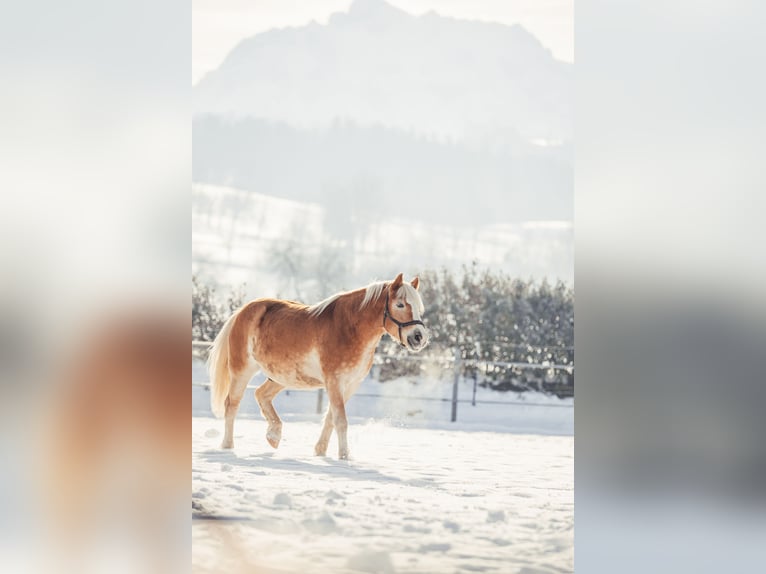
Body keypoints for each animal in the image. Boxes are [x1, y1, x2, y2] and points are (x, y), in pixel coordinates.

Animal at [207, 274, 428, 464]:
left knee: (261, 395)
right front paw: (344, 456)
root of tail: (242, 311)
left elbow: (330, 418)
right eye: (400, 304)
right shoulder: (334, 382)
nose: (419, 337)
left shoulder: (349, 385)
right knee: (232, 405)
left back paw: (274, 436)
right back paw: (228, 446)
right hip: (242, 371)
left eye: (419, 307)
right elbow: (340, 420)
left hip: (282, 377)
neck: (348, 329)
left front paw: (320, 451)